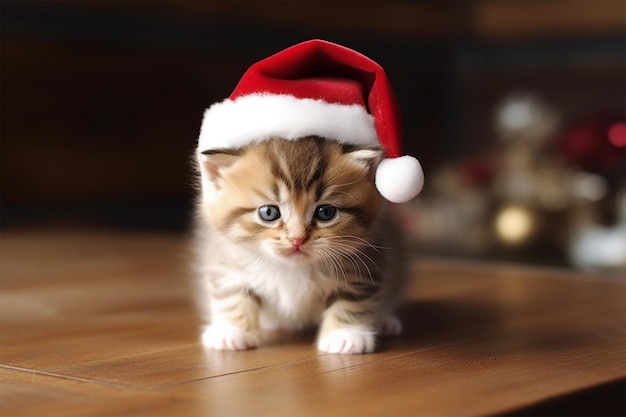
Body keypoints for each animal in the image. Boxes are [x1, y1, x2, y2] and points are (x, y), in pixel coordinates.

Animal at [195, 136, 410, 354]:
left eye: (326, 212)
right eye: (268, 213)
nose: (297, 239)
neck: (292, 267)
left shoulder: (364, 264)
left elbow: (353, 299)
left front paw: (346, 335)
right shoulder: (226, 263)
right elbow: (231, 296)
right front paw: (231, 331)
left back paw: (385, 321)